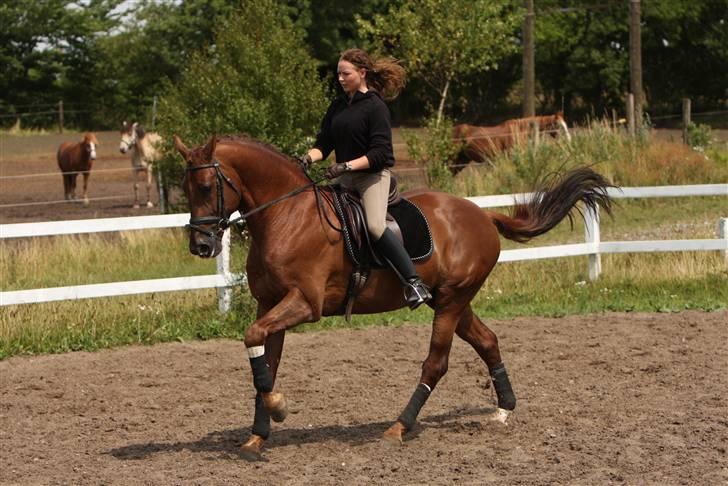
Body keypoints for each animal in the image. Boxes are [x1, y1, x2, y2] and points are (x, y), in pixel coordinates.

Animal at [173, 135, 612, 462]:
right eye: (186, 188)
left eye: (208, 187)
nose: (201, 245)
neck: (286, 215)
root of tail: (484, 216)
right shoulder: (270, 306)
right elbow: (265, 362)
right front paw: (257, 436)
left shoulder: (303, 304)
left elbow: (252, 338)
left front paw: (278, 408)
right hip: (451, 300)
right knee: (487, 340)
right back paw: (504, 407)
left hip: (450, 303)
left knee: (436, 363)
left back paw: (399, 427)